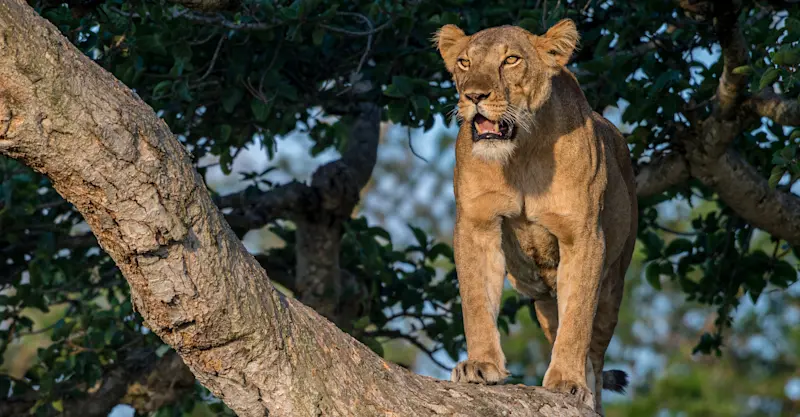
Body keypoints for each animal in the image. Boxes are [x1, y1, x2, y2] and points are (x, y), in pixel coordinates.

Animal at [435, 19, 637, 414]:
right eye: (465, 63)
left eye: (511, 60)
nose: (473, 96)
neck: (520, 154)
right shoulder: (476, 225)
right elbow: (476, 301)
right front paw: (480, 365)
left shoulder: (583, 235)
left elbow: (577, 322)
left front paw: (568, 383)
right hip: (544, 300)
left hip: (612, 287)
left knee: (595, 352)